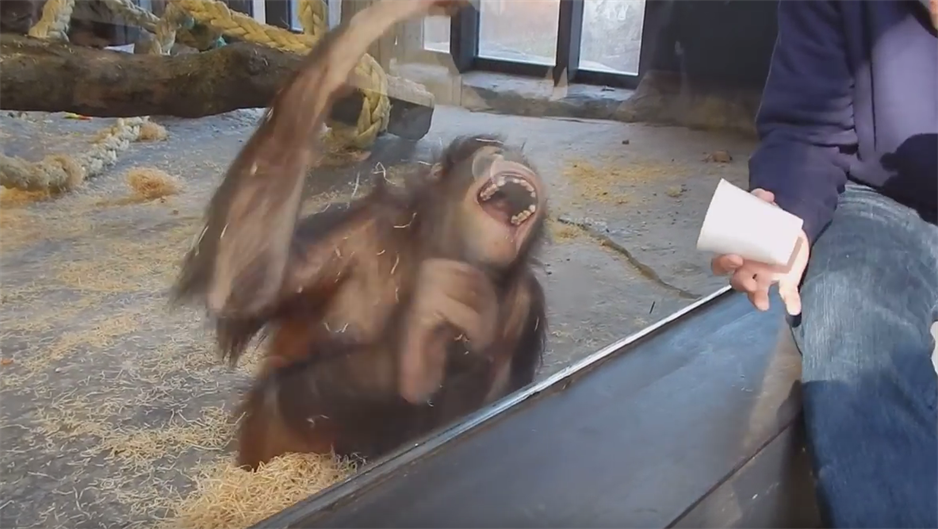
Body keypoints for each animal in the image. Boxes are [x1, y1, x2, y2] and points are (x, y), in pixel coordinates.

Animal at [171, 0, 550, 470]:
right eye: (491, 151)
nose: (514, 158)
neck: (439, 249)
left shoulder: (527, 304)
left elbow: (486, 413)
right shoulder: (355, 234)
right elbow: (245, 287)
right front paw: (374, 22)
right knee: (297, 395)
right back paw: (411, 355)